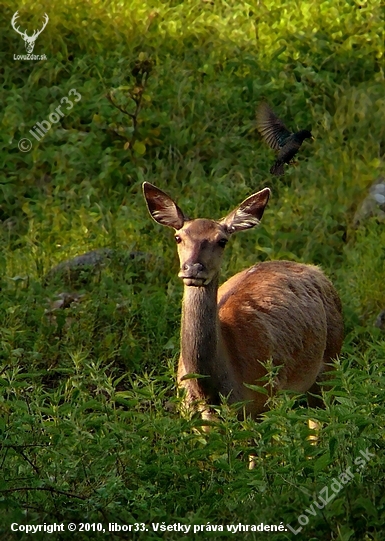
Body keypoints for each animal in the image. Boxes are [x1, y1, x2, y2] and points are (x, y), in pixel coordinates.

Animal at [142, 181, 344, 422]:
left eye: (222, 240)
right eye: (178, 237)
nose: (193, 269)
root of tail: (318, 271)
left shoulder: (264, 400)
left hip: (329, 363)